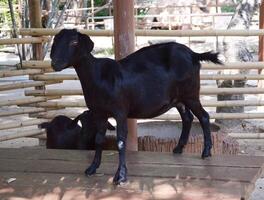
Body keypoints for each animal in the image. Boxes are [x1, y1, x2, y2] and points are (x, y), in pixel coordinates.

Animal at [50, 28, 223, 184]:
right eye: (55, 41)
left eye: (74, 42)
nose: (55, 63)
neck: (99, 77)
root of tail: (193, 54)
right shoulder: (99, 113)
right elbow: (99, 139)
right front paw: (92, 168)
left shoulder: (120, 111)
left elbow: (121, 142)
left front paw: (120, 176)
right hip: (178, 99)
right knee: (187, 118)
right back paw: (179, 148)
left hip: (191, 94)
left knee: (204, 116)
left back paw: (206, 152)